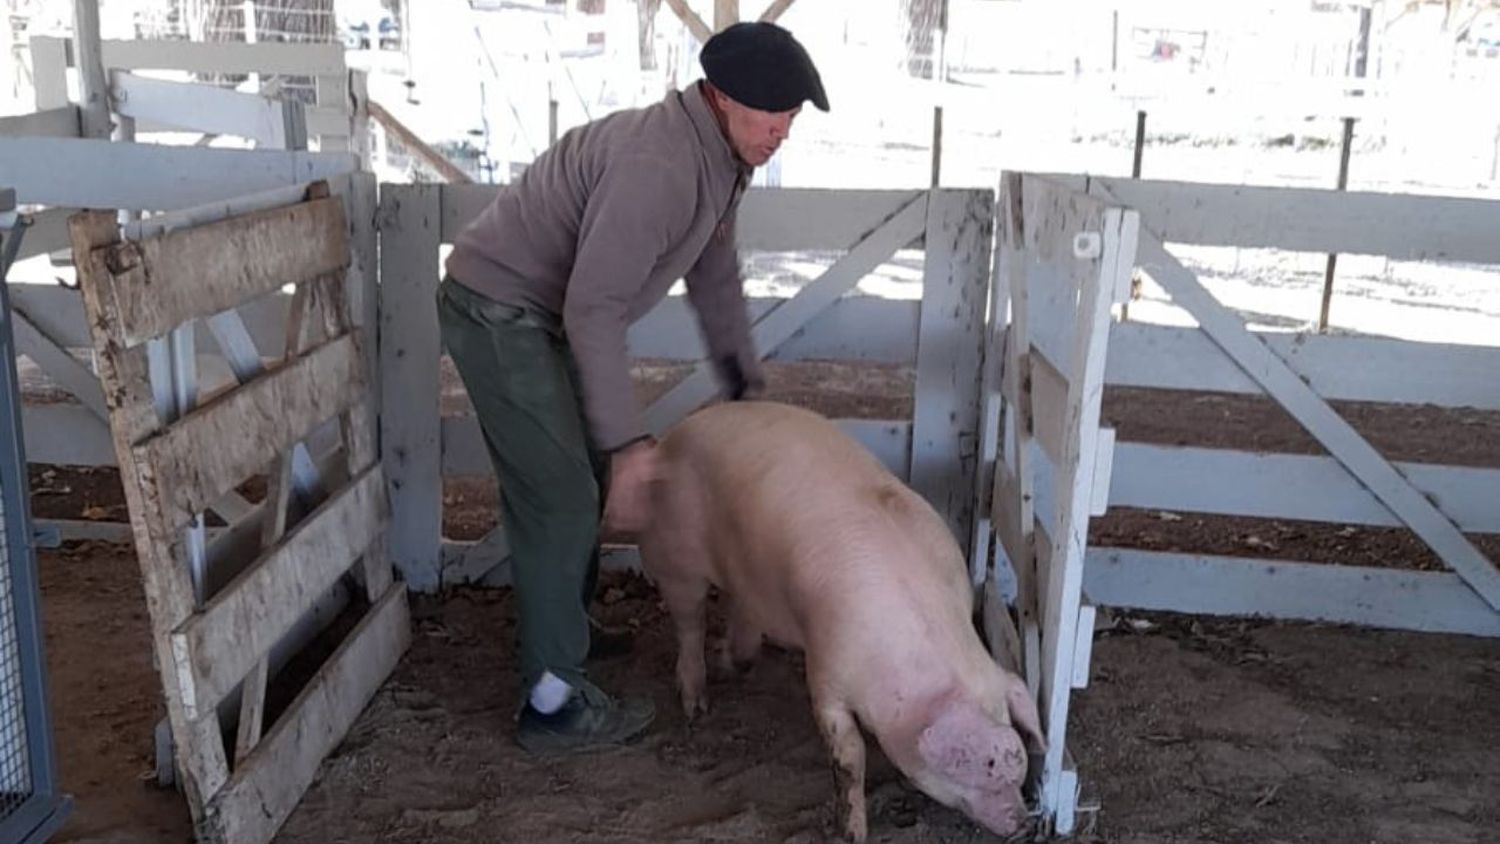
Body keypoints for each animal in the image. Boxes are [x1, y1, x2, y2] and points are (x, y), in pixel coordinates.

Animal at [639, 401, 1050, 839]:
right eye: (975, 770)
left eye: (1016, 765)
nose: (1023, 823)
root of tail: (676, 433)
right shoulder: (827, 671)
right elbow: (850, 755)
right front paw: (853, 833)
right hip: (674, 557)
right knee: (690, 623)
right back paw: (695, 706)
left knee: (739, 606)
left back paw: (735, 663)